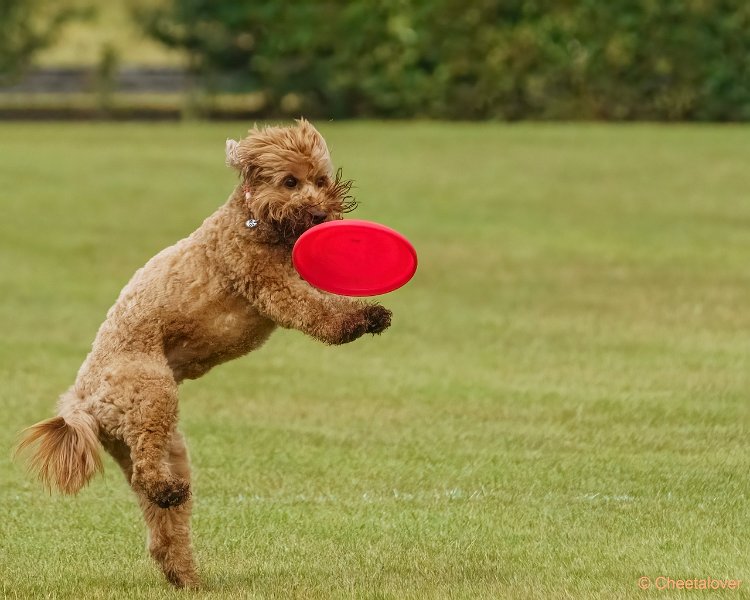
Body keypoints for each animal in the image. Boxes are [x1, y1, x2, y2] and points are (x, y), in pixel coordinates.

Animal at [14, 119, 394, 588]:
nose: (321, 214)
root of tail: (80, 399)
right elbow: (314, 310)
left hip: (157, 442)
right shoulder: (268, 283)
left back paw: (184, 571)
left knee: (160, 513)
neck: (251, 221)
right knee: (148, 472)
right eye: (290, 181)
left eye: (320, 180)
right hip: (152, 391)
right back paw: (169, 504)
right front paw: (364, 318)